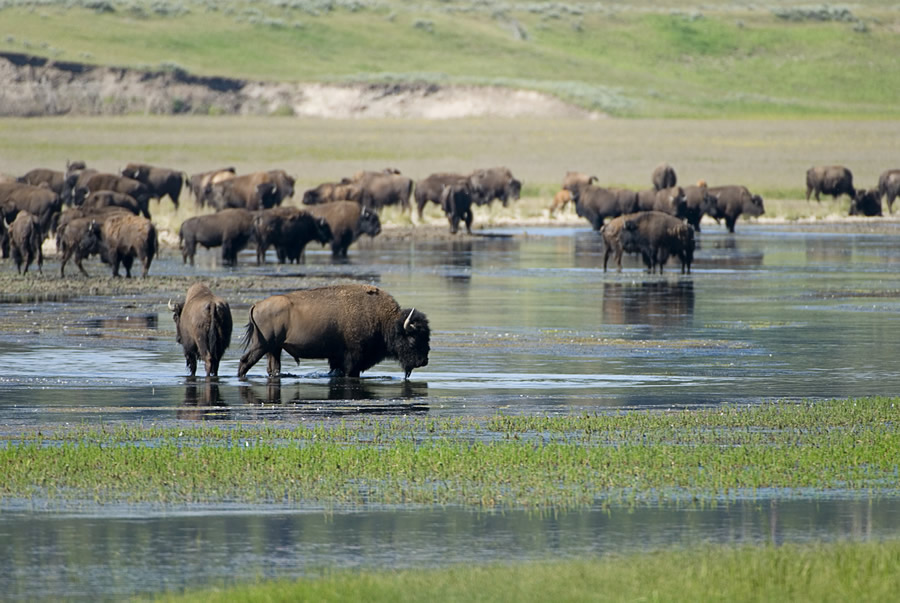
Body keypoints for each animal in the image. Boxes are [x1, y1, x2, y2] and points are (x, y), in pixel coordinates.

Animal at [237, 286, 430, 380]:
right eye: (413, 339)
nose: (424, 361)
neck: (384, 320)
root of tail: (257, 305)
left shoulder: (337, 359)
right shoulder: (352, 360)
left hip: (274, 349)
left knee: (273, 368)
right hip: (261, 346)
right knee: (245, 361)